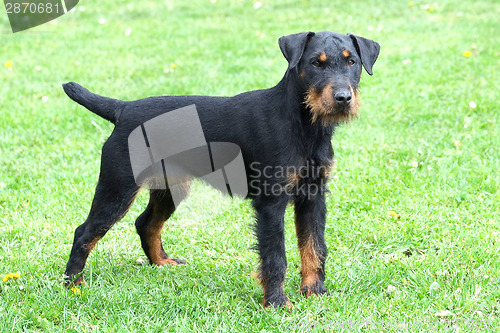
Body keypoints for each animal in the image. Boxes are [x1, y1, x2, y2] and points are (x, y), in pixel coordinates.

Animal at [63, 31, 382, 306]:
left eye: (351, 61)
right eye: (316, 63)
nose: (343, 98)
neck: (305, 125)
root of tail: (123, 109)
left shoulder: (313, 197)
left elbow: (314, 247)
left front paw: (314, 291)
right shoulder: (271, 203)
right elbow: (275, 255)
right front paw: (276, 302)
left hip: (170, 187)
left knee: (146, 223)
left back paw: (162, 263)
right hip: (118, 187)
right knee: (85, 231)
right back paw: (73, 285)